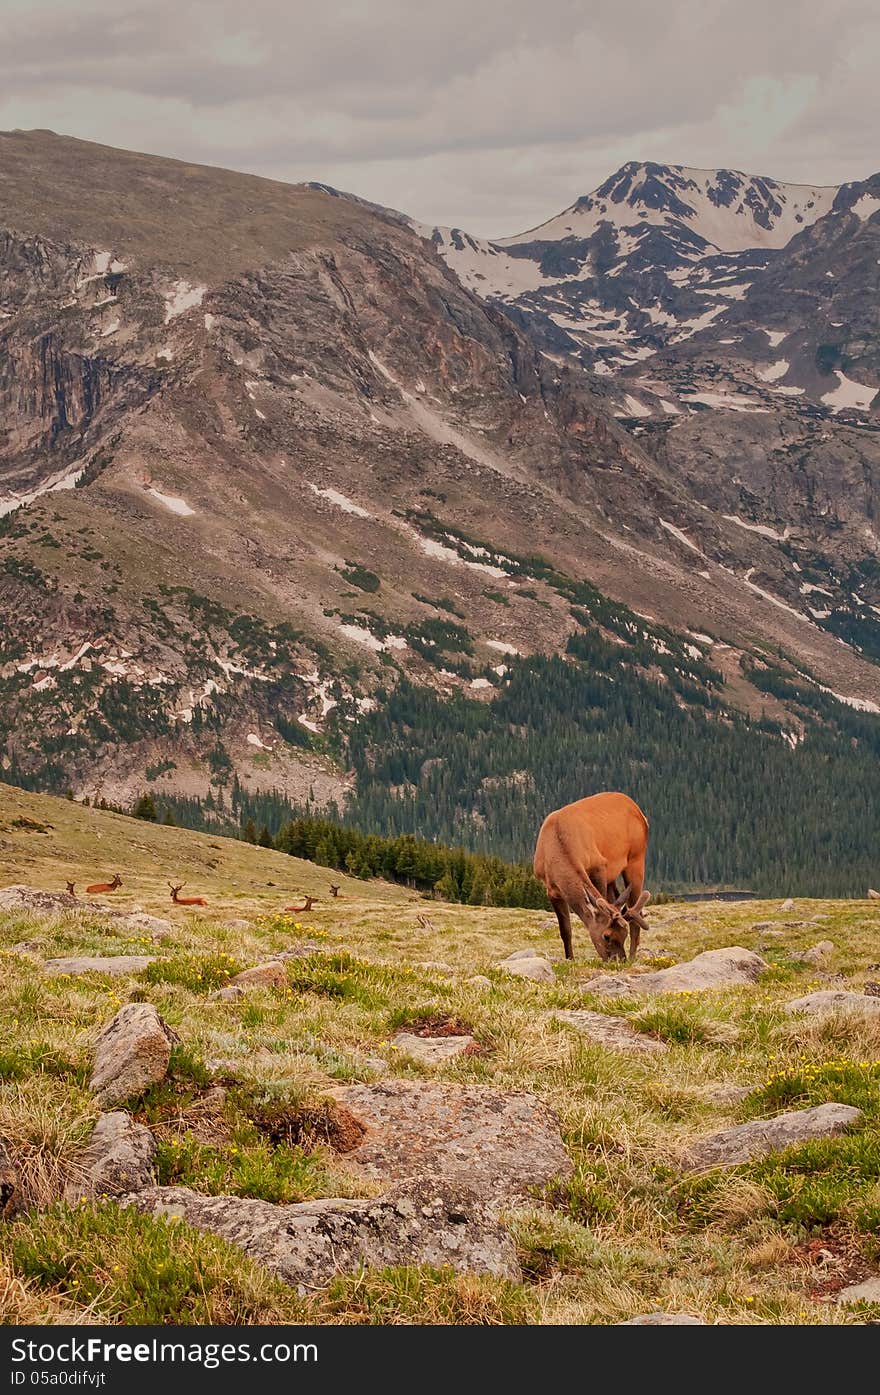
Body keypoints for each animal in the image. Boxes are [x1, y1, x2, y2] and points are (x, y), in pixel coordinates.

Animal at [532, 792, 649, 965]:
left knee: (636, 910)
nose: (619, 960)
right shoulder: (551, 889)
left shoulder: (599, 865)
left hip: (637, 857)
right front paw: (570, 959)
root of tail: (640, 812)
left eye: (624, 934)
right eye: (606, 936)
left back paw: (634, 956)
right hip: (614, 875)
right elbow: (565, 930)